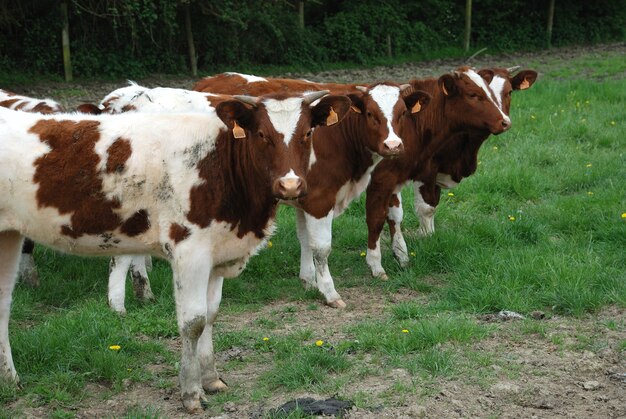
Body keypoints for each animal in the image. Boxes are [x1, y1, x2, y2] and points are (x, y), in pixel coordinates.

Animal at [0, 89, 352, 414]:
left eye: (307, 133)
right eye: (262, 134)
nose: (290, 186)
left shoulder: (216, 251)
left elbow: (212, 314)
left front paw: (211, 379)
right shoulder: (189, 250)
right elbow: (193, 321)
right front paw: (191, 393)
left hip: (8, 235)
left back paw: (10, 381)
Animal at [194, 73, 428, 308]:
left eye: (403, 113)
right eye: (370, 113)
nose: (393, 145)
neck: (336, 137)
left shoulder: (302, 199)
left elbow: (305, 240)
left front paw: (309, 282)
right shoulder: (319, 201)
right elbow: (322, 248)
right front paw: (330, 292)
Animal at [364, 66, 532, 278]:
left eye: (509, 92)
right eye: (473, 95)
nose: (505, 122)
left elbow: (401, 213)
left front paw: (404, 251)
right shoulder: (421, 171)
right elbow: (424, 208)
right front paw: (426, 238)